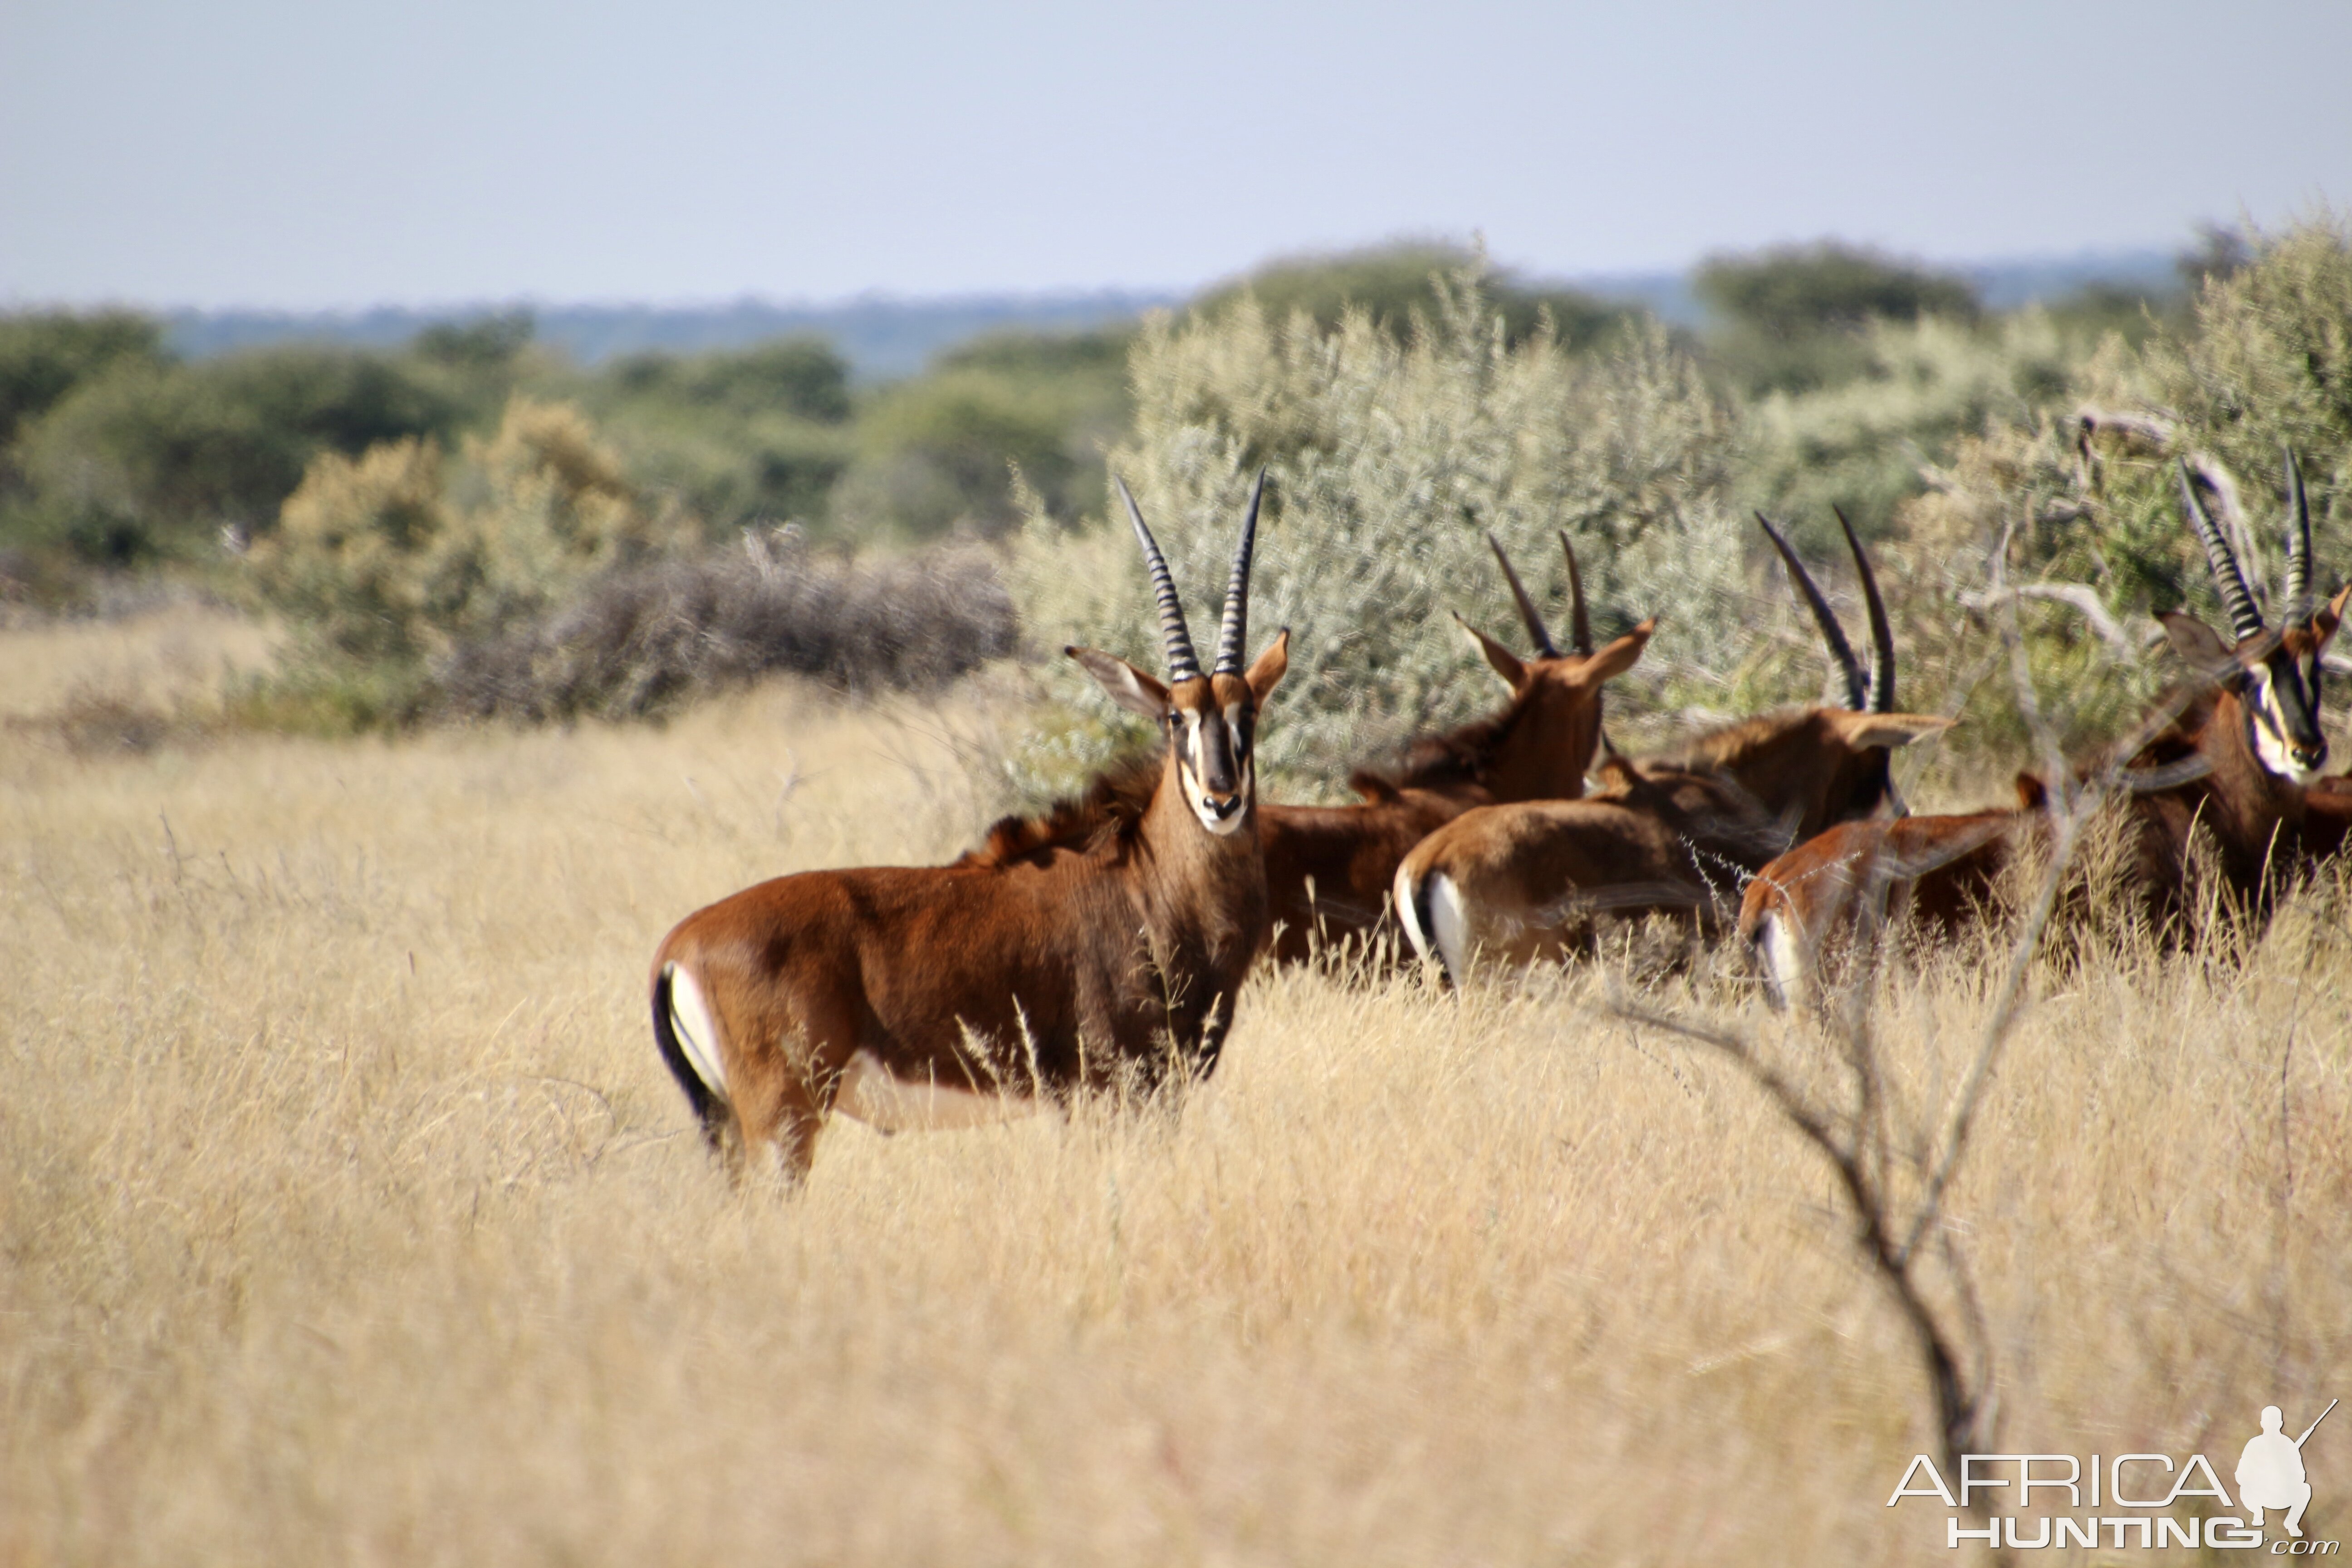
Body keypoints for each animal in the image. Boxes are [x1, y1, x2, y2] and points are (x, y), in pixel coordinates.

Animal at [649, 475, 1289, 1175]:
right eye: (1175, 718)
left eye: (1248, 713)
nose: (1221, 802)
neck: (1146, 882)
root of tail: (677, 950)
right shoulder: (1110, 1089)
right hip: (782, 1120)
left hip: (735, 1128)